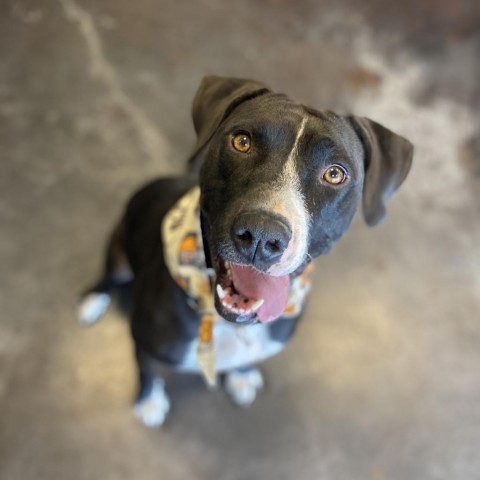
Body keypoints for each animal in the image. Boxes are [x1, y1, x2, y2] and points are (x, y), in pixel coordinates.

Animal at [76, 76, 412, 428]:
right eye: (241, 142)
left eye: (335, 174)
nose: (262, 235)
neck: (230, 325)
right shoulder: (143, 340)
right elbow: (147, 369)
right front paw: (149, 400)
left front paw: (240, 375)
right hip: (119, 250)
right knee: (109, 276)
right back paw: (93, 300)